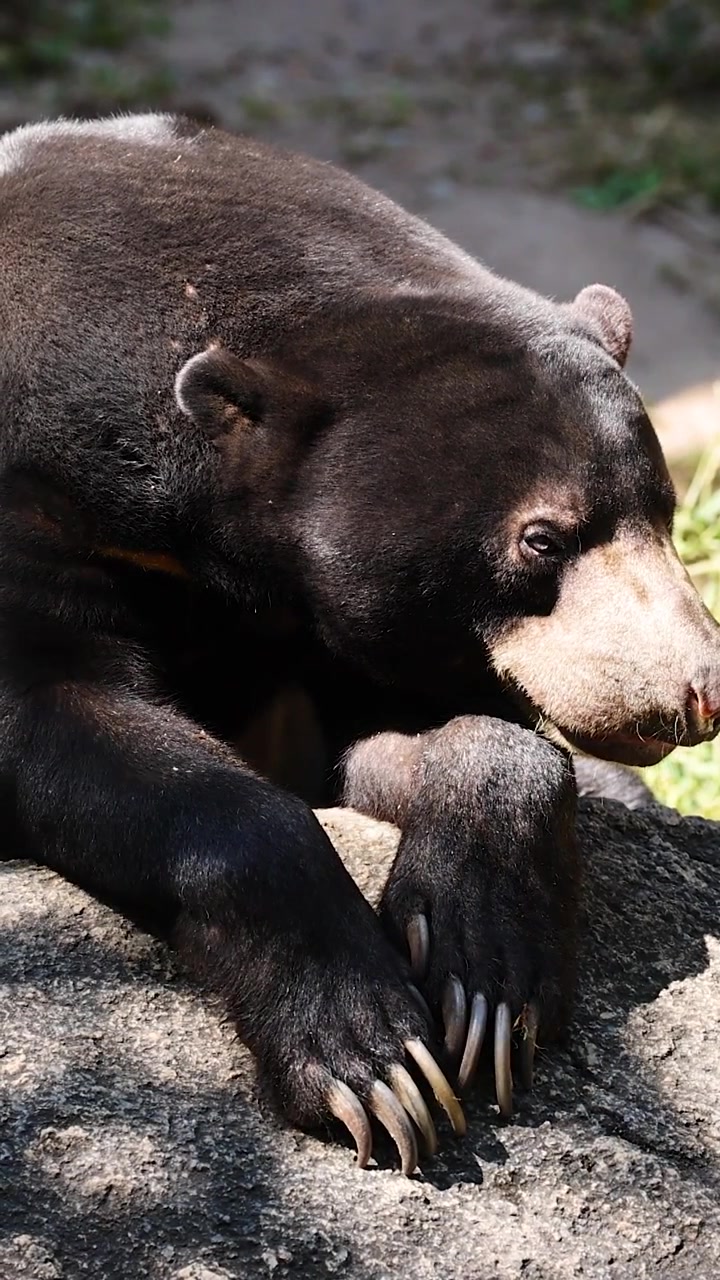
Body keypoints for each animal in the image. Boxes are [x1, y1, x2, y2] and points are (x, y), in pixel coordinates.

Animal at [0, 112, 719, 1175]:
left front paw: (485, 976)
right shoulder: (41, 520)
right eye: (541, 539)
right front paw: (375, 1063)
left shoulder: (342, 629)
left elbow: (431, 740)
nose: (695, 691)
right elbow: (67, 717)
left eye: (665, 513)